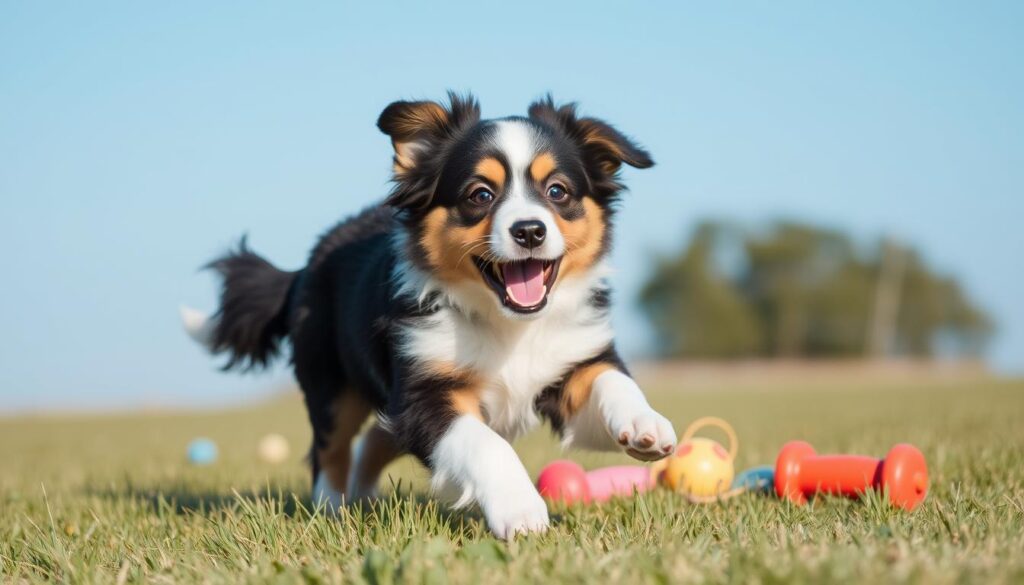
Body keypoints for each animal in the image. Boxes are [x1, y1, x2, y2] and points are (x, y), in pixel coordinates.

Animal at [182, 92, 679, 540]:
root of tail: (305, 265)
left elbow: (611, 379)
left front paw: (646, 425)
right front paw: (520, 510)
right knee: (331, 447)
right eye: (481, 194)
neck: (508, 325)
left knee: (374, 439)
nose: (530, 231)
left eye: (557, 191)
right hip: (330, 381)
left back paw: (364, 500)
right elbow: (486, 443)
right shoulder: (426, 390)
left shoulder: (571, 359)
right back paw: (332, 509)